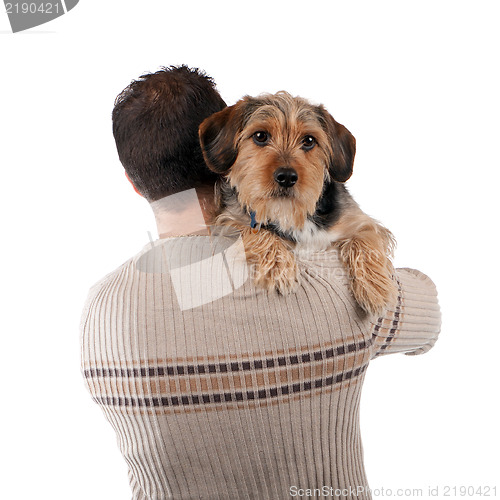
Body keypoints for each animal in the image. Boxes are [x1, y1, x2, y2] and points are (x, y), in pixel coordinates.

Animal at [197, 92, 396, 314]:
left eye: (309, 140)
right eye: (260, 136)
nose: (286, 177)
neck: (291, 214)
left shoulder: (359, 222)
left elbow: (364, 241)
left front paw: (375, 288)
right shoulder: (227, 219)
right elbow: (252, 230)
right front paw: (278, 265)